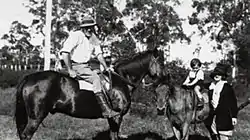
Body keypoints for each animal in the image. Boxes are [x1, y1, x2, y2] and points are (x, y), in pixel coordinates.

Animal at [15, 48, 164, 140]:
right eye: (161, 62)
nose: (163, 79)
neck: (121, 80)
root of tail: (29, 77)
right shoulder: (117, 117)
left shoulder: (112, 119)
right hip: (36, 117)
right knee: (26, 135)